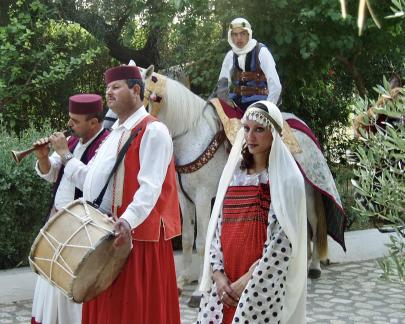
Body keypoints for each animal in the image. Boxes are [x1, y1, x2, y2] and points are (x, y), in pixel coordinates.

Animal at [135, 65, 344, 306]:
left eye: (139, 93)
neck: (191, 133)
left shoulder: (203, 197)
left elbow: (202, 242)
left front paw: (198, 291)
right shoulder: (183, 198)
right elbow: (187, 239)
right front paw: (181, 282)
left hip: (308, 192)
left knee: (315, 223)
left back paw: (315, 266)